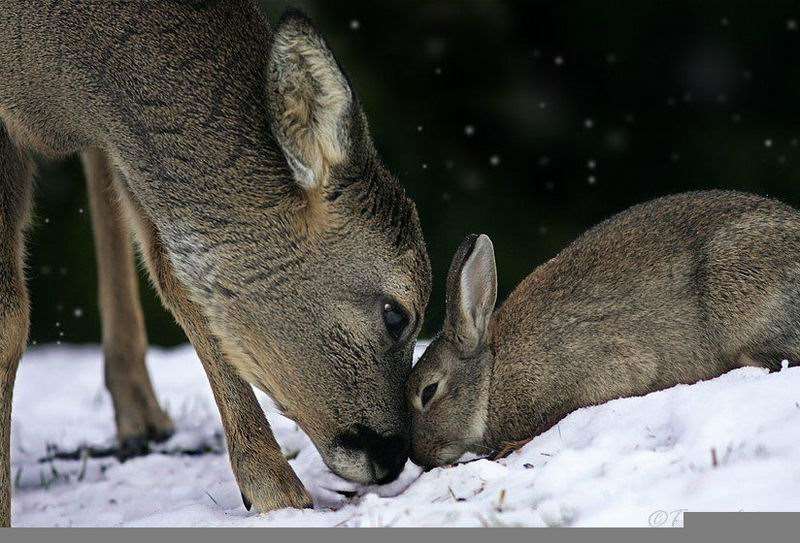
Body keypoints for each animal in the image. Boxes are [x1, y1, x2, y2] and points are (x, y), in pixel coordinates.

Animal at [0, 1, 432, 528]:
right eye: (397, 314)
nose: (392, 456)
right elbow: (9, 317)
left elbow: (180, 280)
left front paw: (272, 488)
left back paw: (141, 417)